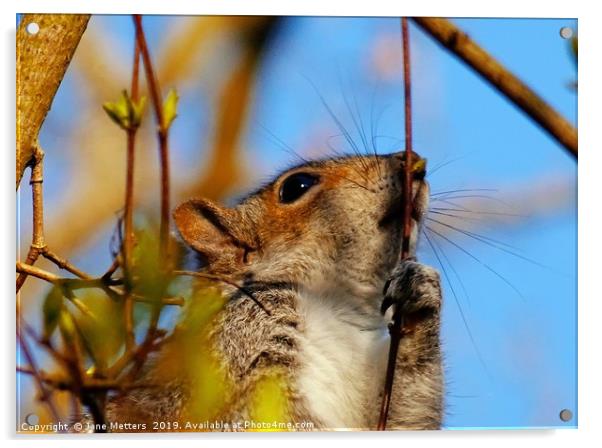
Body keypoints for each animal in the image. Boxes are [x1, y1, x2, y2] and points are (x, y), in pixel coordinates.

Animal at [85, 150, 440, 430]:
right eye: (297, 186)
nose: (413, 161)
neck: (336, 306)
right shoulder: (238, 345)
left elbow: (408, 412)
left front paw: (420, 289)